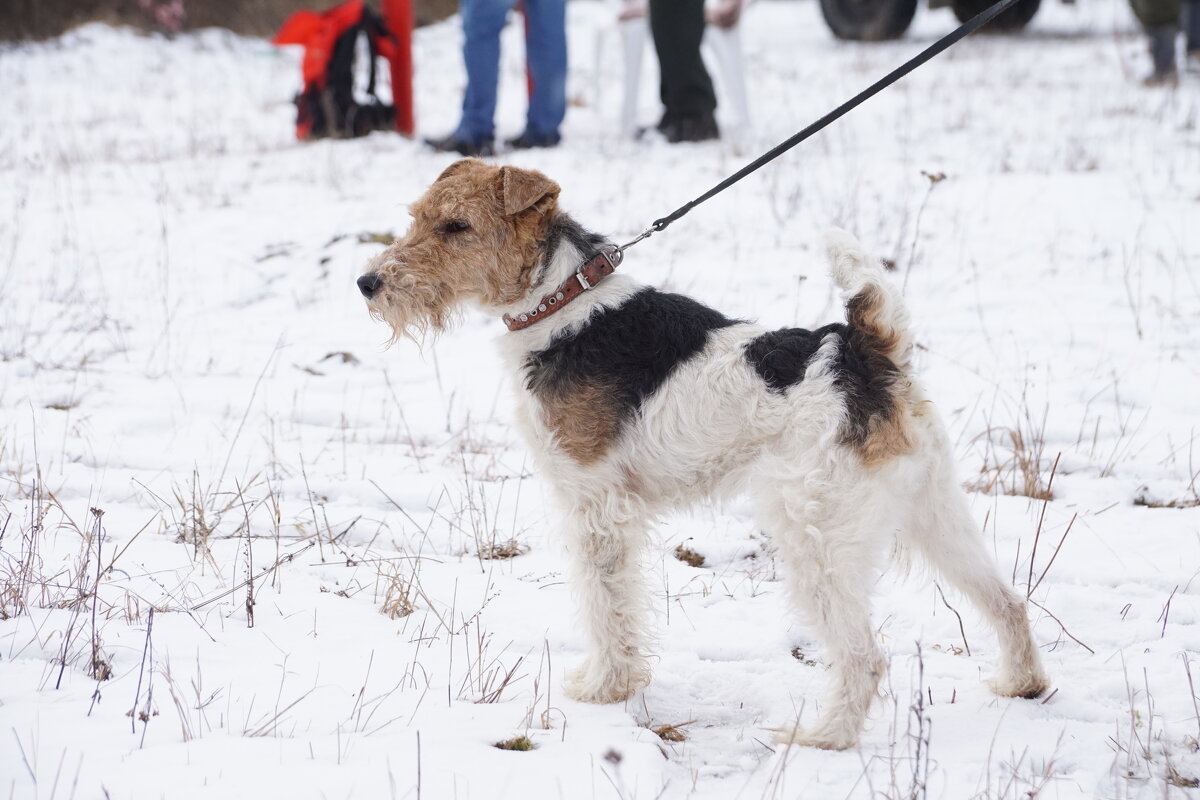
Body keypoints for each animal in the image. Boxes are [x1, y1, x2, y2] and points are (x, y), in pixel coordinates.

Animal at [357, 158, 1051, 753]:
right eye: (419, 215)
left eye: (457, 227)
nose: (368, 283)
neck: (561, 305)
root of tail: (869, 354)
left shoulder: (596, 503)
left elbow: (606, 603)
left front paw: (605, 688)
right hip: (935, 512)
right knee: (1006, 601)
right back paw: (1022, 683)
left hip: (817, 535)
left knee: (863, 653)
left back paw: (821, 738)